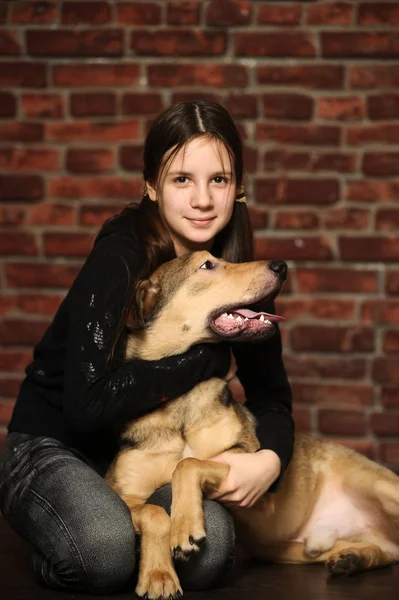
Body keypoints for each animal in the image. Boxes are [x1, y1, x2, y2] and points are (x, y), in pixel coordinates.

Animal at [105, 251, 399, 596]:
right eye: (207, 265)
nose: (281, 266)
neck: (181, 402)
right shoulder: (126, 496)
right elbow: (154, 512)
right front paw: (158, 574)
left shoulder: (254, 481)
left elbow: (187, 464)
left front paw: (185, 525)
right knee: (387, 552)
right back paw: (352, 558)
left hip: (381, 486)